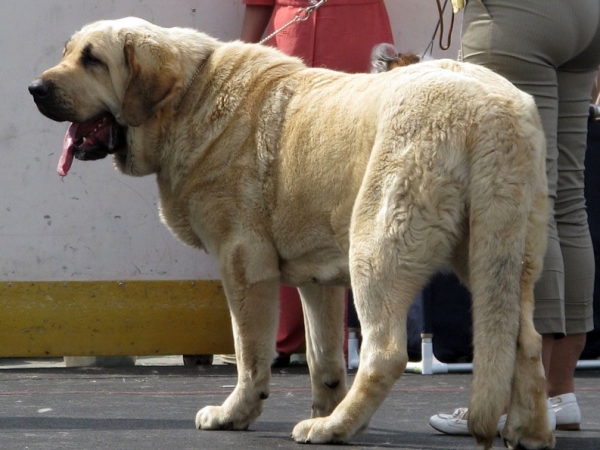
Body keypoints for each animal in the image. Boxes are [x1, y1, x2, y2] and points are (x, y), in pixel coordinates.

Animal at [28, 17, 552, 450]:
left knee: (385, 352)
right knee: (525, 341)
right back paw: (529, 433)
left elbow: (249, 352)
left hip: (376, 249)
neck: (189, 98)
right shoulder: (317, 281)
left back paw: (336, 429)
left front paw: (236, 414)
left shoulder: (243, 265)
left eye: (93, 60)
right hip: (497, 253)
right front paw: (322, 403)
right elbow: (324, 359)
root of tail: (492, 112)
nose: (34, 87)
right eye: (68, 52)